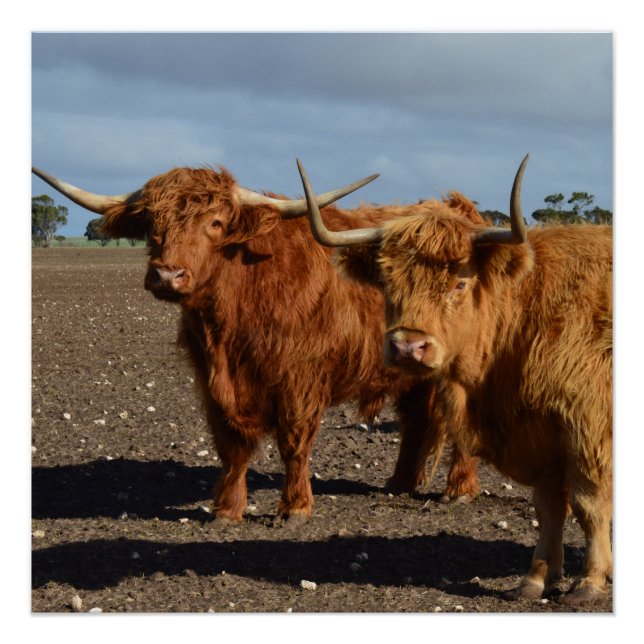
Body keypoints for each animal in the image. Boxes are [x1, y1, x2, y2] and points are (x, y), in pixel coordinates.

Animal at [31, 163, 479, 523]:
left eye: (215, 223)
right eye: (152, 224)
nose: (167, 275)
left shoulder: (300, 380)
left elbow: (294, 443)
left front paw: (295, 509)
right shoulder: (212, 382)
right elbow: (231, 446)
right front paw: (227, 510)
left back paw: (459, 490)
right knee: (417, 420)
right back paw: (399, 483)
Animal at [297, 155, 612, 605]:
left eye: (460, 283)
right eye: (388, 283)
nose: (409, 346)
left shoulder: (588, 429)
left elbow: (590, 504)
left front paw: (590, 581)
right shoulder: (542, 435)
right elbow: (548, 506)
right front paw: (536, 579)